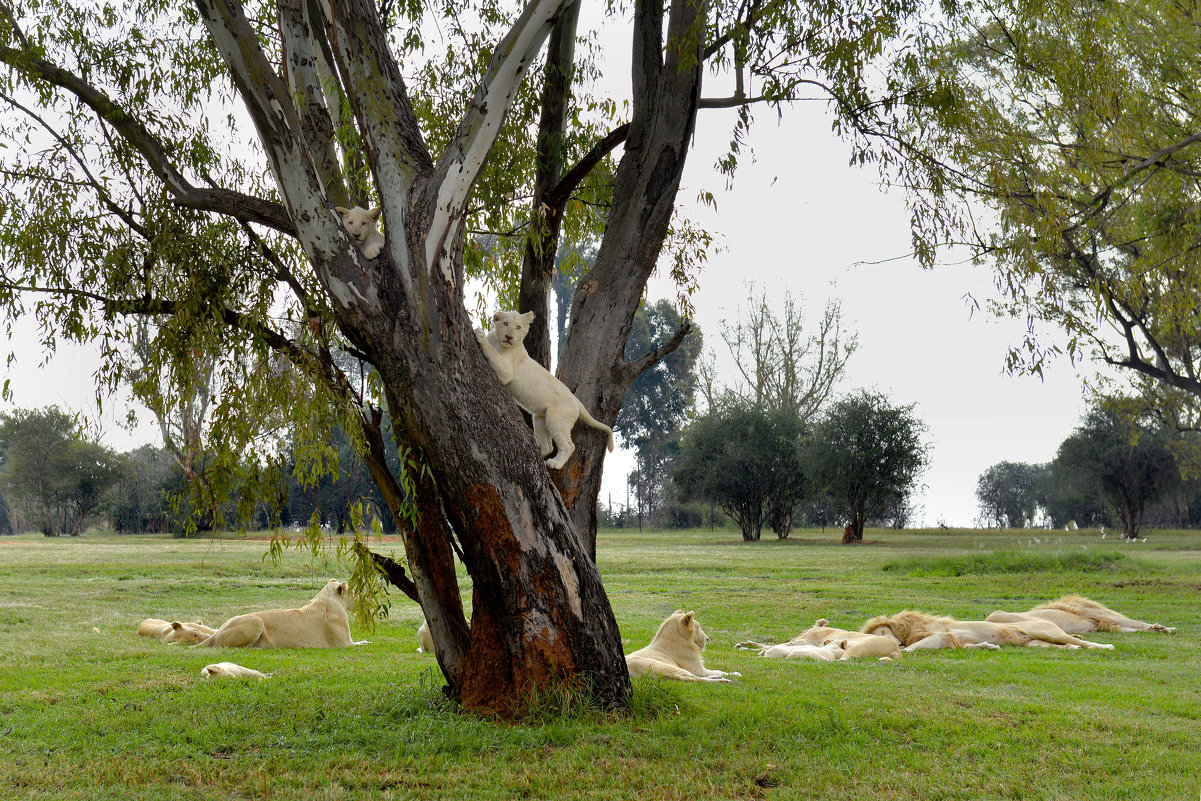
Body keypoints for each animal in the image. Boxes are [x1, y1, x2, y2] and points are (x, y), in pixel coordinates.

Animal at [473, 309, 614, 470]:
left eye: (518, 327)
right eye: (506, 323)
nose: (509, 337)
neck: (498, 342)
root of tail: (577, 401)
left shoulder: (507, 371)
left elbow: (493, 354)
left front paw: (479, 334)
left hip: (557, 419)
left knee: (568, 446)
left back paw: (555, 463)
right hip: (540, 418)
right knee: (549, 447)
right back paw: (537, 451)